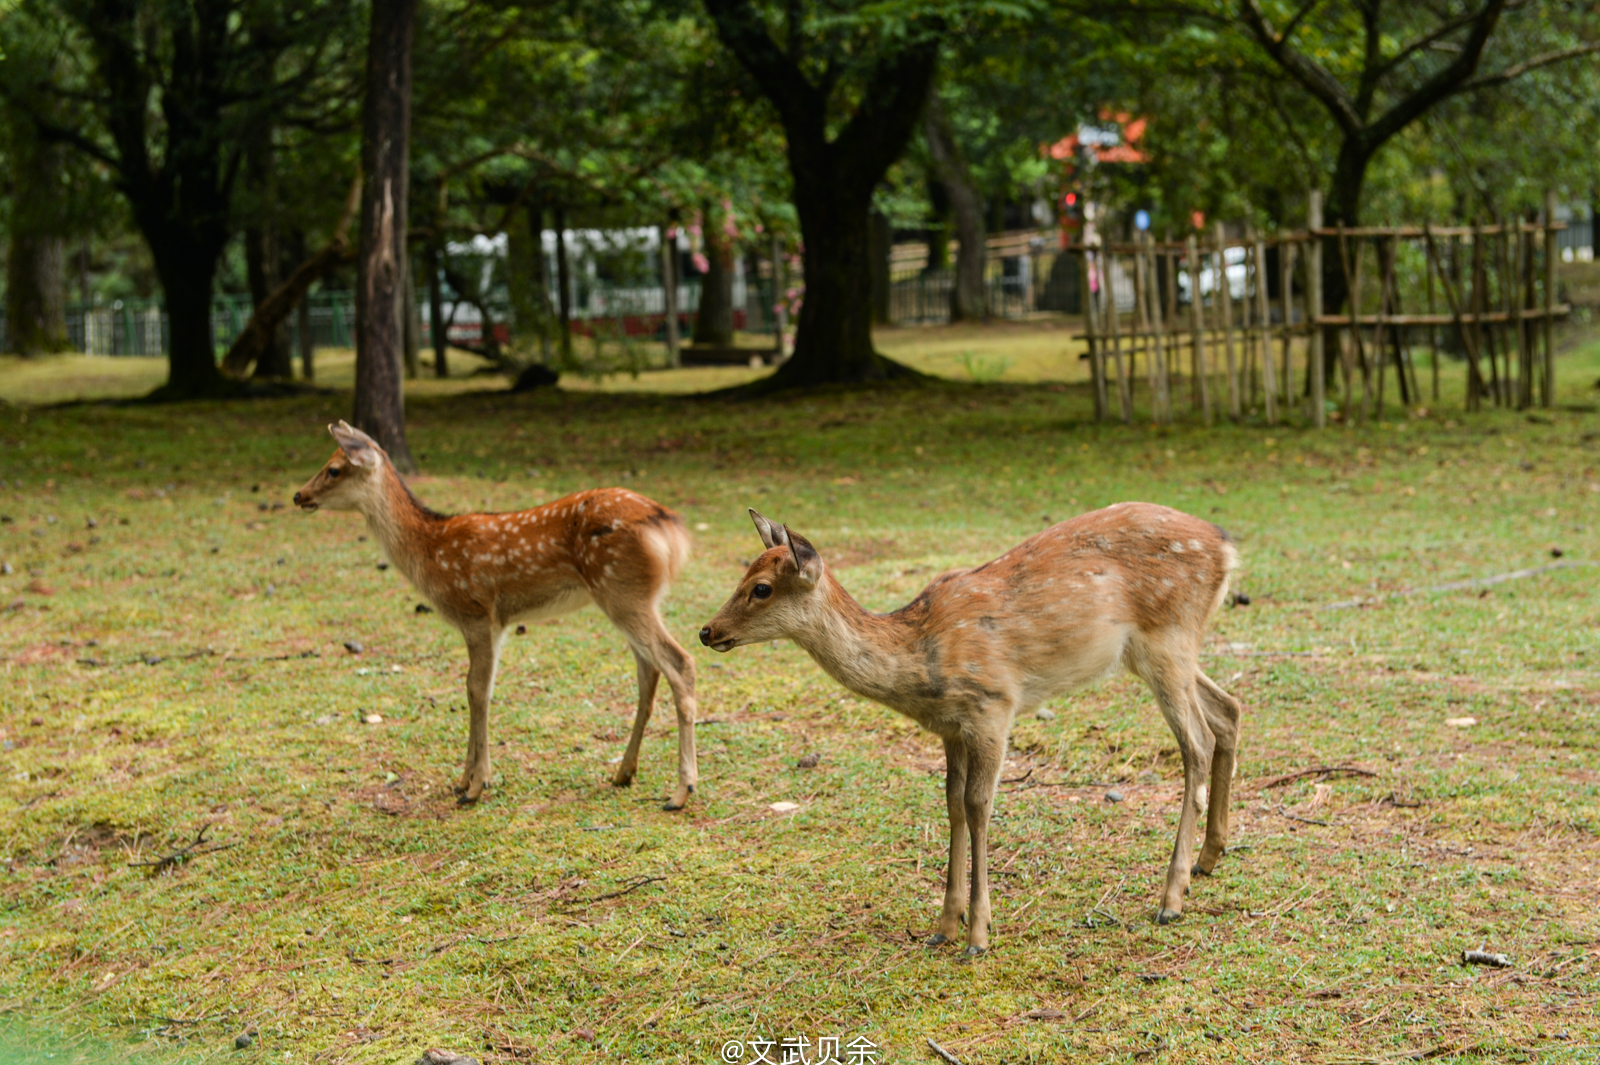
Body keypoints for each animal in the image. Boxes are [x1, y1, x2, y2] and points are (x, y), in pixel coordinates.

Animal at [297, 422, 697, 805]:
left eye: (333, 469)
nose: (299, 495)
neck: (430, 550)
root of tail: (669, 525)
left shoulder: (475, 611)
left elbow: (475, 689)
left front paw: (476, 786)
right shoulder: (499, 623)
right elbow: (481, 688)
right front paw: (463, 779)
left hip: (622, 591)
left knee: (680, 662)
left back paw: (681, 791)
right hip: (632, 598)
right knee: (648, 672)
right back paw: (623, 773)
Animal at [707, 502, 1241, 946]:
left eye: (761, 587)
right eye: (745, 575)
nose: (707, 631)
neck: (919, 660)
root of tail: (1226, 548)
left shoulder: (992, 705)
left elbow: (979, 804)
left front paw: (978, 934)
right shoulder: (951, 727)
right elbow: (952, 804)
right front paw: (945, 925)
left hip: (1168, 636)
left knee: (1196, 742)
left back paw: (1171, 898)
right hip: (1159, 651)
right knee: (1229, 710)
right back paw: (1209, 858)